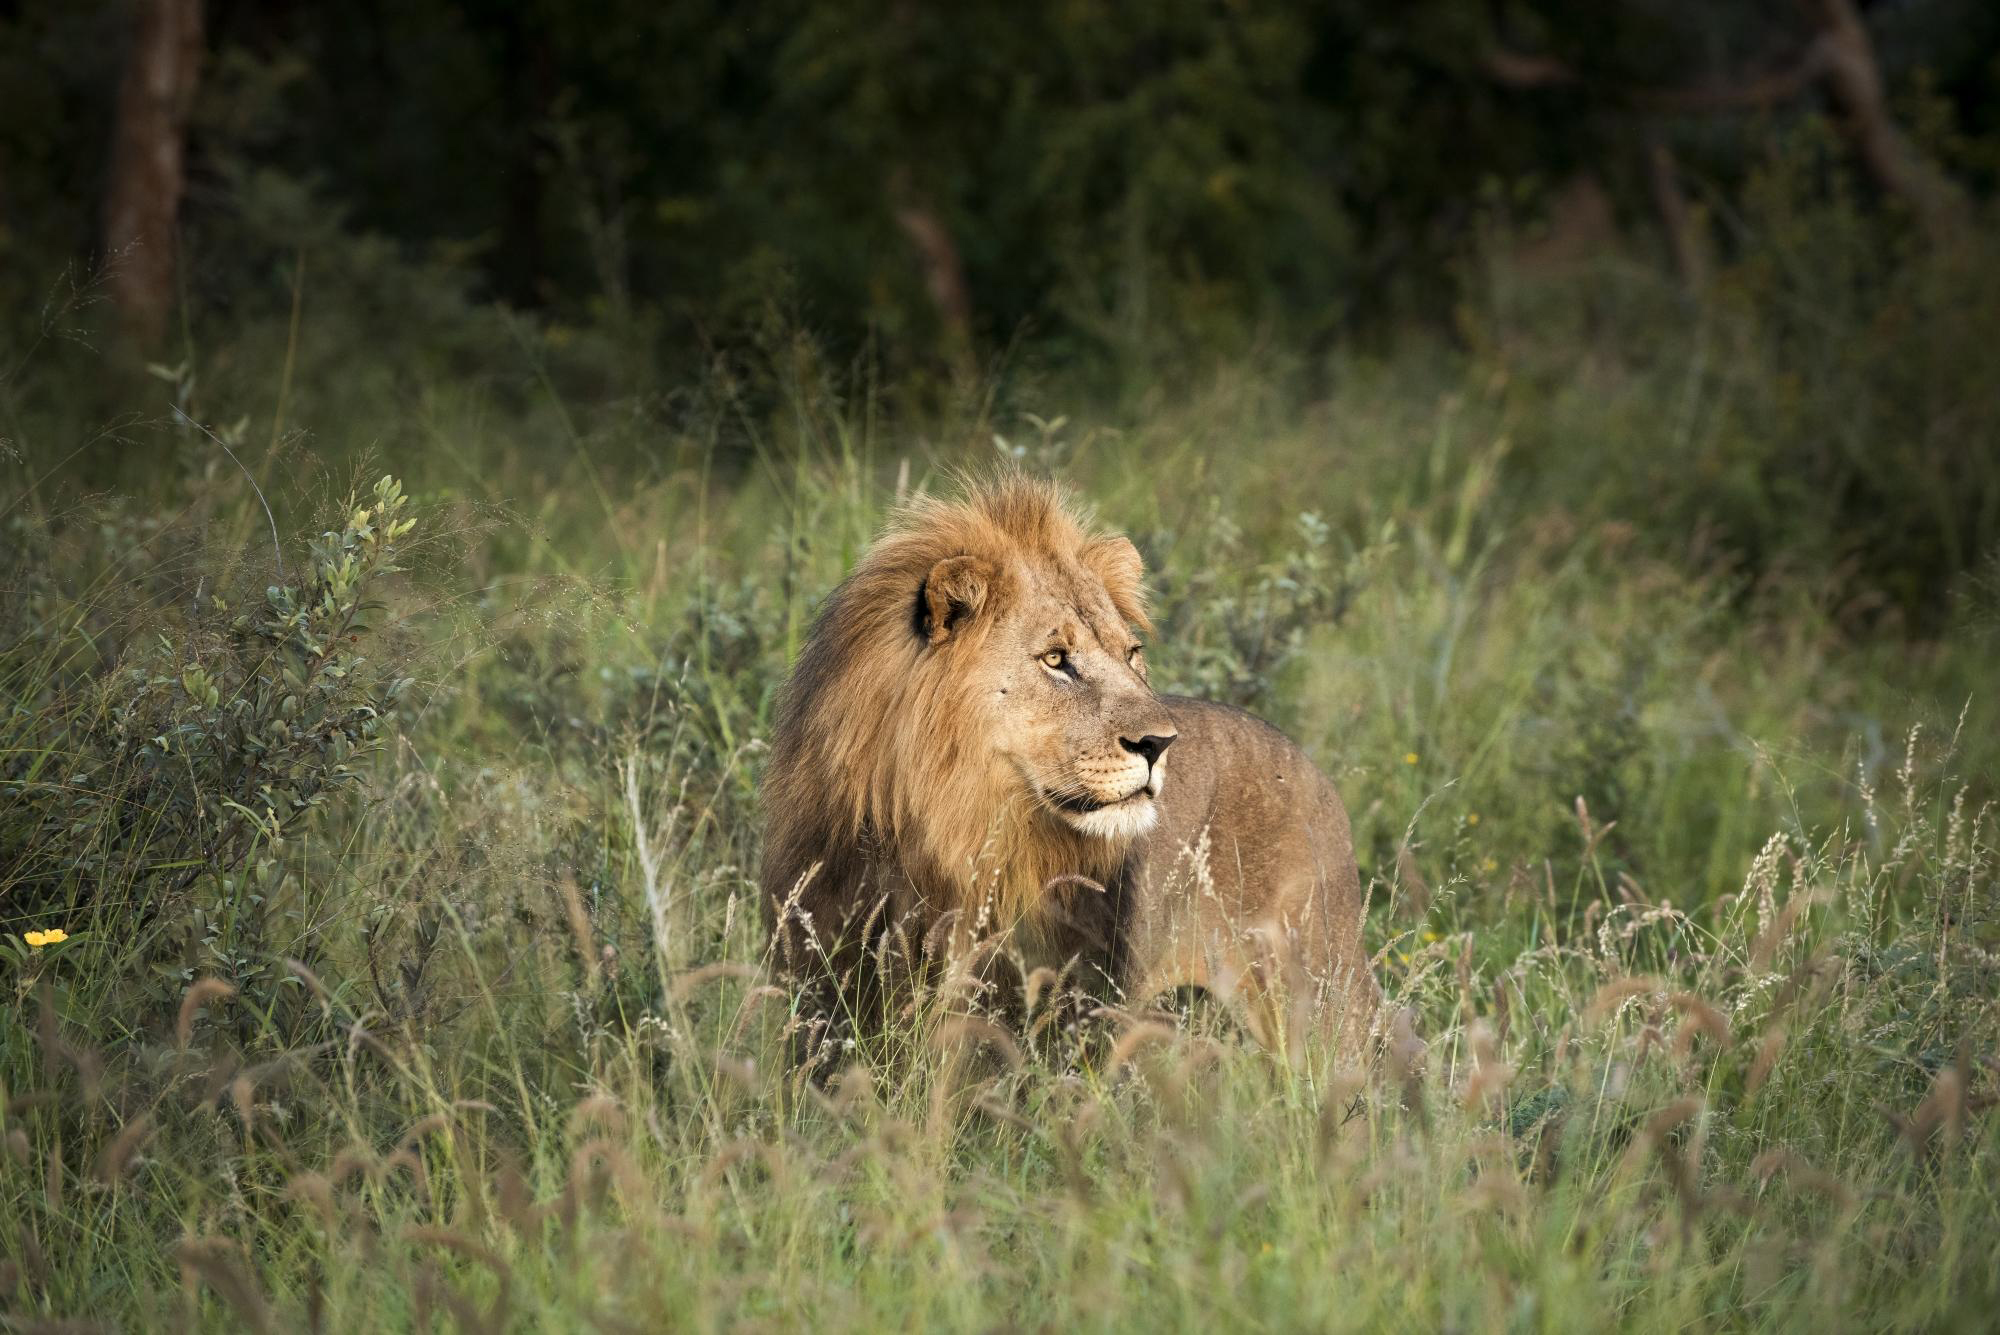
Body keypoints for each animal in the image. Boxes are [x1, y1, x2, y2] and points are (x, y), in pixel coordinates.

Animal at [760, 475, 1380, 1066]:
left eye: (1131, 655)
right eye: (1056, 659)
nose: (1160, 743)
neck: (938, 831)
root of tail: (1312, 770)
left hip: (1325, 1002)